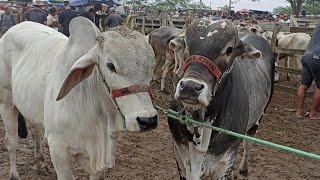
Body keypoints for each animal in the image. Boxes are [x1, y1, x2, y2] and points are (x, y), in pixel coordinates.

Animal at [0, 17, 158, 180]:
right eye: (111, 66)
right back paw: (14, 174)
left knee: (35, 131)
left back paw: (41, 164)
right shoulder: (57, 148)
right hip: (6, 102)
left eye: (152, 66)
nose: (147, 120)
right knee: (11, 141)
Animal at [166, 17, 274, 179]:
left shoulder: (225, 162)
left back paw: (244, 168)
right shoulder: (179, 156)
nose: (190, 87)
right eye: (185, 43)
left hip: (259, 116)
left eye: (229, 50)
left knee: (248, 142)